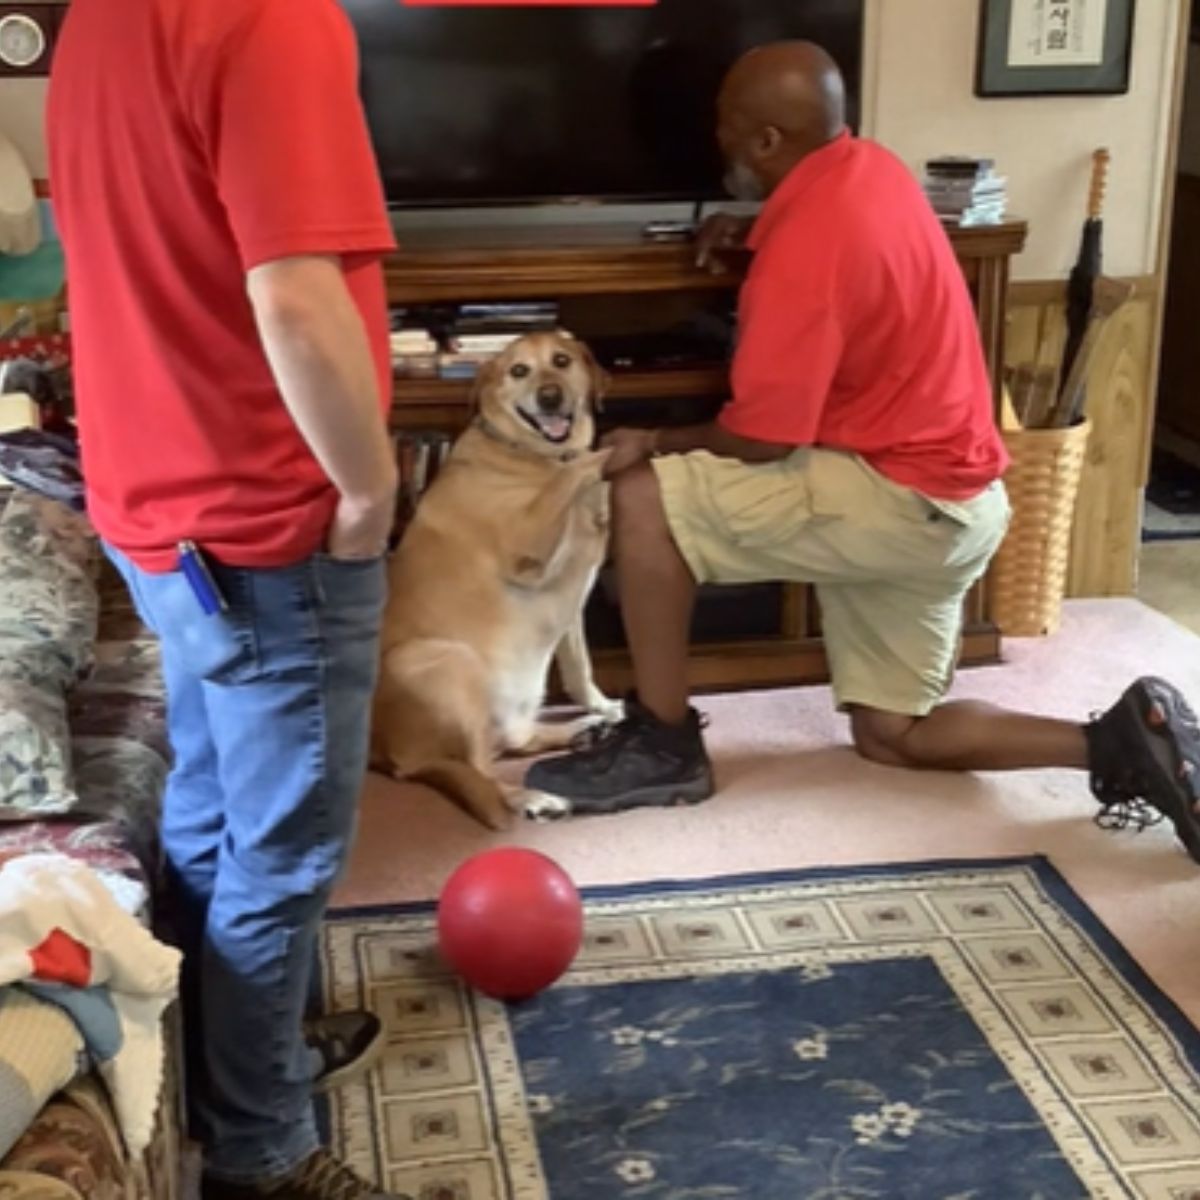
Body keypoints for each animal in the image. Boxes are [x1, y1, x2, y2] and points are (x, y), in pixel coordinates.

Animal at [369, 333, 624, 830]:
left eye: (561, 361)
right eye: (518, 371)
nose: (550, 397)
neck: (531, 453)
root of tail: (377, 753)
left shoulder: (576, 592)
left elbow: (579, 665)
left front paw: (599, 704)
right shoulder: (527, 550)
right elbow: (573, 472)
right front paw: (609, 453)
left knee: (512, 742)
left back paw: (581, 730)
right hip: (448, 661)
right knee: (478, 770)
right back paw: (530, 797)